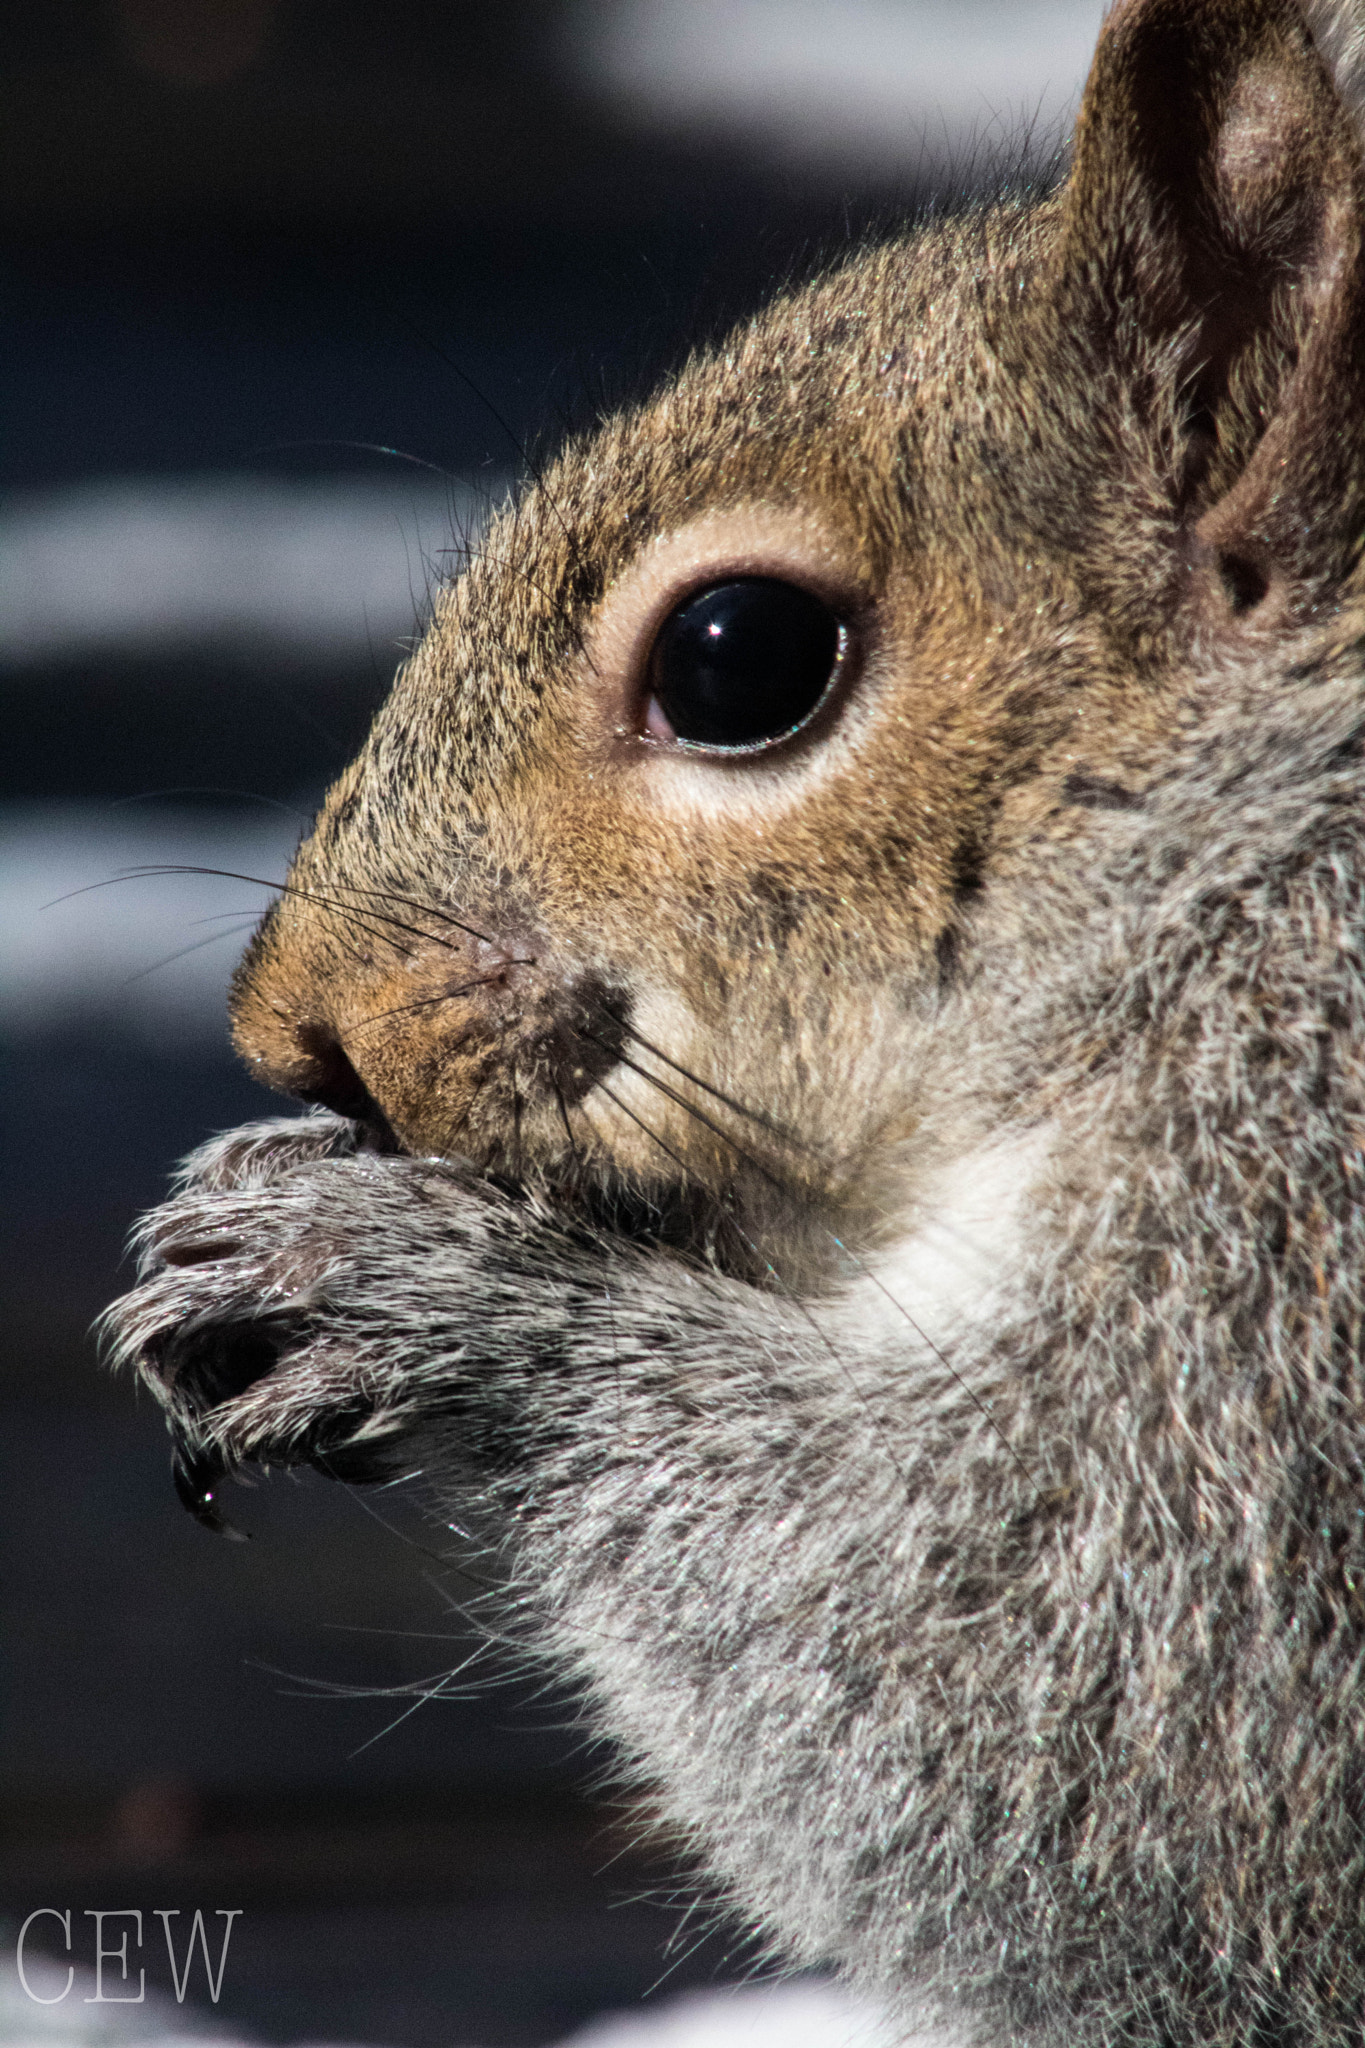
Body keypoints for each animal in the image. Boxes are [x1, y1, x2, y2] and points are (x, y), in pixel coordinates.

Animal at [106, 0, 1365, 2039]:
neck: (1244, 851)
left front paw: (401, 1285)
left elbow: (1074, 1703)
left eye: (736, 658)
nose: (299, 1034)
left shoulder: (1285, 1273)